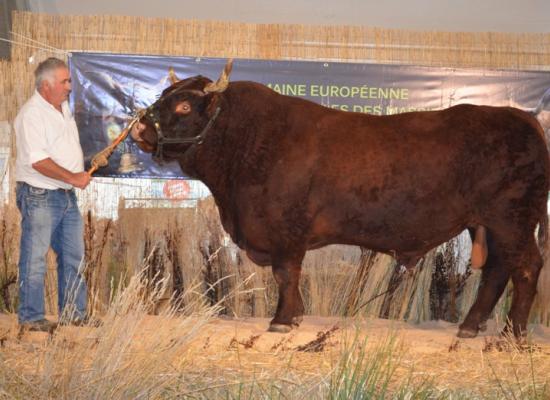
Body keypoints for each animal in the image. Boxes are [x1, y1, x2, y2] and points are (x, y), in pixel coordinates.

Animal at [132, 60, 548, 338]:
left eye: (184, 106)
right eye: (164, 96)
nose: (138, 126)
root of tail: (523, 118)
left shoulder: (286, 231)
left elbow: (286, 274)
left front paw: (281, 321)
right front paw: (295, 317)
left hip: (512, 219)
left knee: (525, 267)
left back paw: (512, 334)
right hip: (489, 224)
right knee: (497, 270)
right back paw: (471, 327)